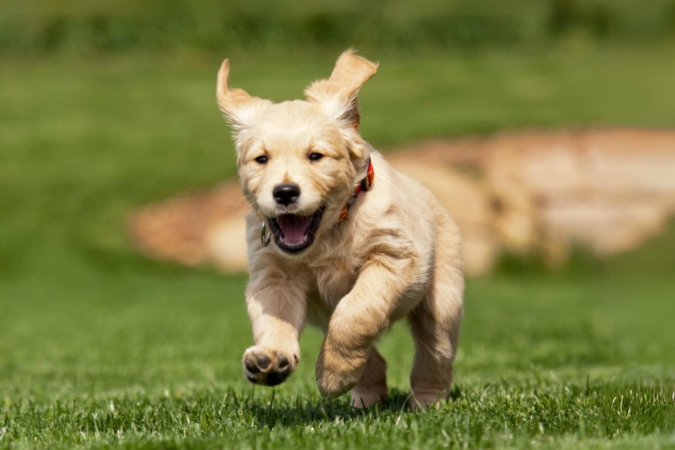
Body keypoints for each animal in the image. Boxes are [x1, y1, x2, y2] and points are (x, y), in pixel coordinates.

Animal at [217, 50, 464, 412]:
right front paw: (271, 358)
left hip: (442, 300)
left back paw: (426, 402)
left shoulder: (393, 258)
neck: (329, 233)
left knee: (435, 354)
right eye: (261, 159)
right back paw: (365, 397)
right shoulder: (274, 275)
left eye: (315, 156)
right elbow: (276, 318)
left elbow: (356, 312)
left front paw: (333, 375)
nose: (285, 192)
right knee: (374, 359)